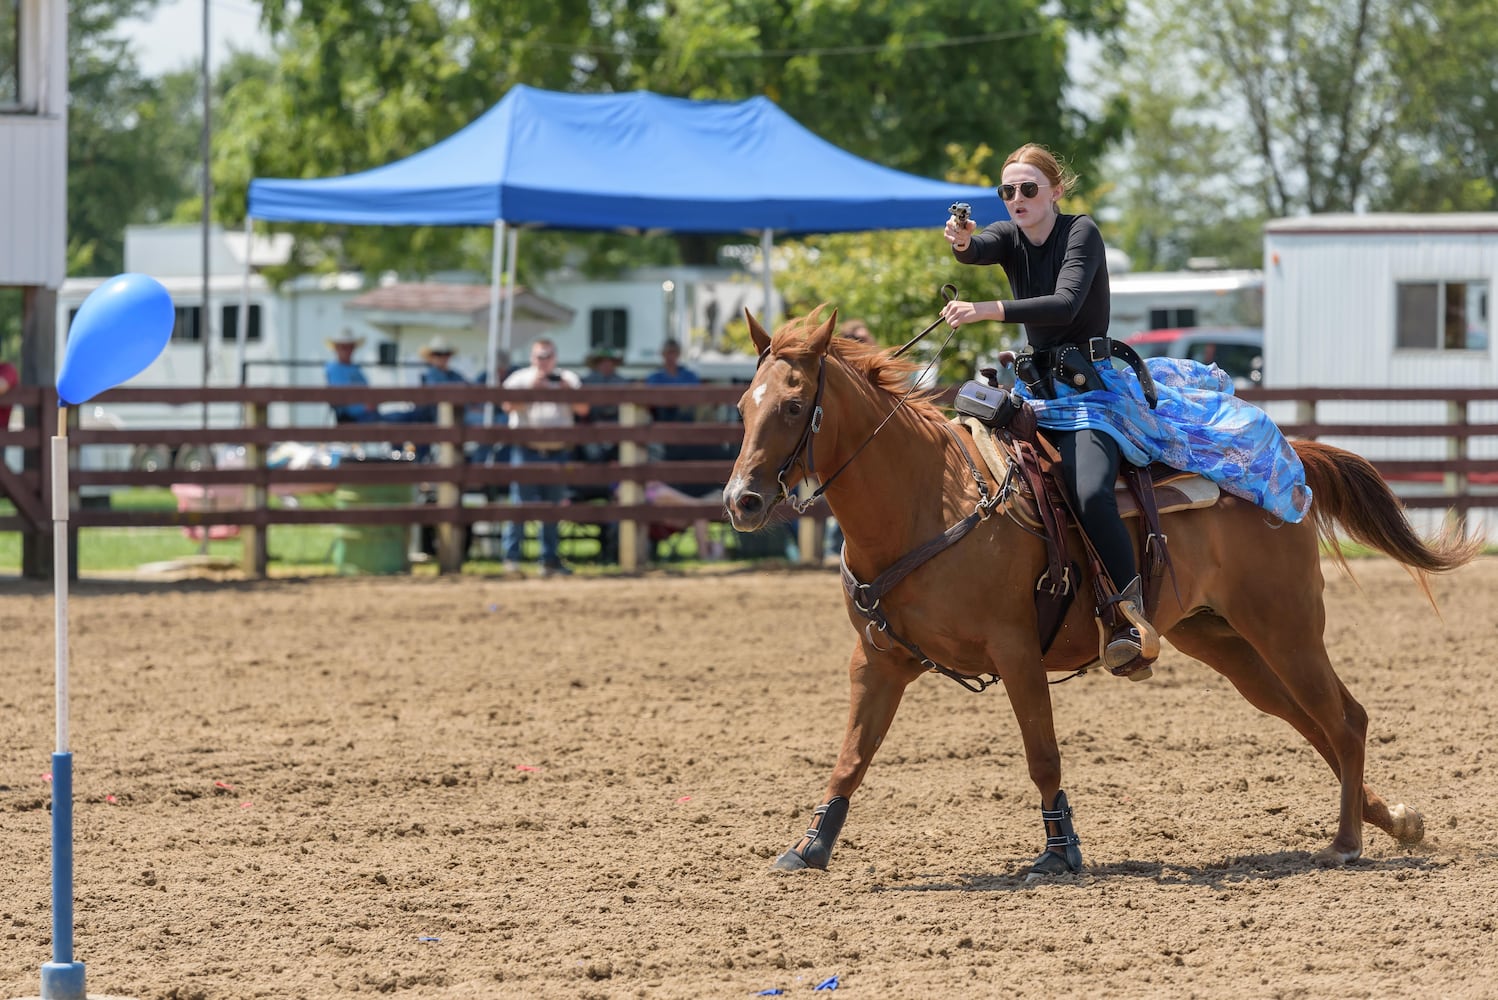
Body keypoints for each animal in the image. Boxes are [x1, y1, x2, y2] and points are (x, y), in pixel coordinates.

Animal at [719, 308, 1480, 880]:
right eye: (742, 407)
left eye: (794, 405)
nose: (741, 502)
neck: (928, 499)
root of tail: (1294, 460)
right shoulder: (877, 660)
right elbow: (852, 754)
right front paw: (810, 846)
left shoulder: (1016, 652)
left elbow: (1042, 754)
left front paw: (1061, 853)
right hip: (1225, 641)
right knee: (1311, 722)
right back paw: (1395, 821)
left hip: (1287, 626)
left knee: (1344, 718)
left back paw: (1348, 842)